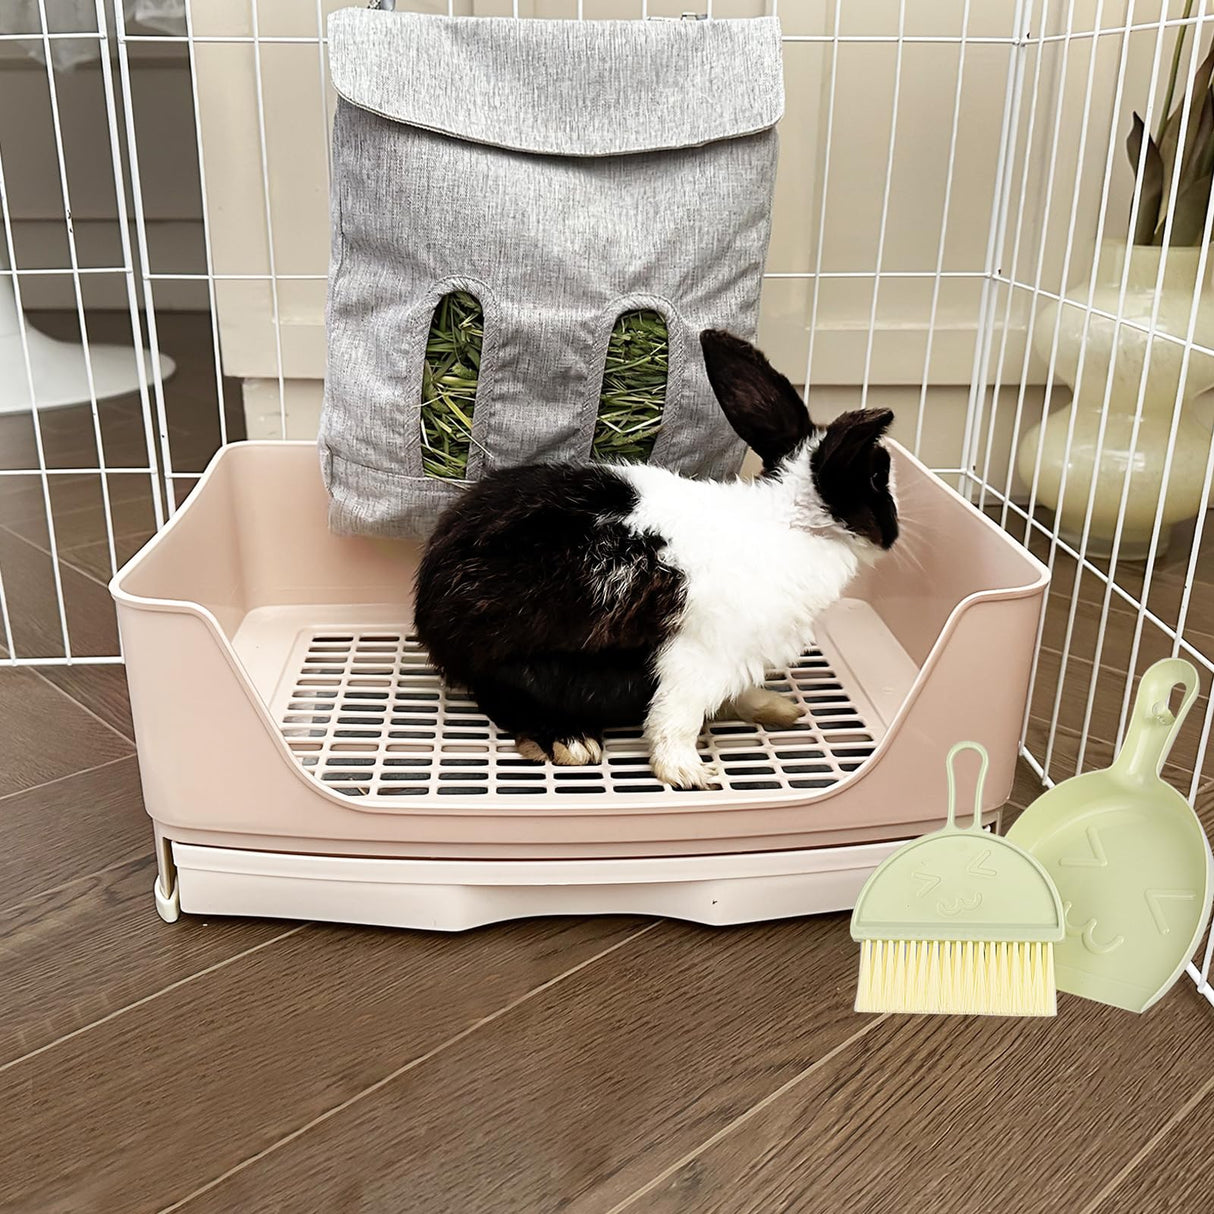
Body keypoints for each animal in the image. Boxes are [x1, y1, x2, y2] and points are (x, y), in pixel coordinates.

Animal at [413, 329, 898, 790]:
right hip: (522, 664)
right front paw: (687, 773)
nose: (894, 533)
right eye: (877, 479)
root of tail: (428, 607)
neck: (788, 520)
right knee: (504, 700)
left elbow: (726, 697)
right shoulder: (699, 657)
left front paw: (772, 707)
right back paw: (569, 741)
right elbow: (676, 719)